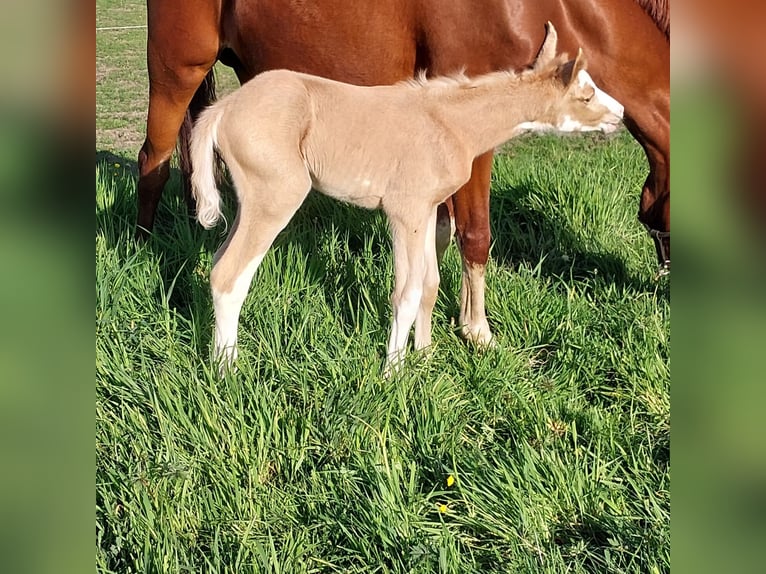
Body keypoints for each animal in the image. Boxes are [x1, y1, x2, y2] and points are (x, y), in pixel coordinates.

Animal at [138, 0, 672, 346]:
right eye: (585, 92)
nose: (618, 113)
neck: (451, 118)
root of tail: (226, 111)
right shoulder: (403, 210)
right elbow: (417, 282)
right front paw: (419, 361)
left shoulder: (427, 210)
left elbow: (430, 280)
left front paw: (426, 354)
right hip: (194, 91)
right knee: (206, 239)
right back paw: (222, 366)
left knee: (215, 256)